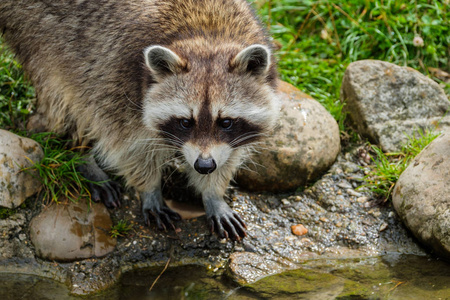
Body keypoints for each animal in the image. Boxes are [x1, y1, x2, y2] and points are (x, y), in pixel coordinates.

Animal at [0, 0, 280, 239]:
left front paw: (213, 194)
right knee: (62, 95)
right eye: (185, 122)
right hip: (35, 32)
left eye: (226, 122)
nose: (203, 165)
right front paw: (150, 189)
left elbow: (229, 153)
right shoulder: (116, 79)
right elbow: (129, 148)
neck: (206, 35)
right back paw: (80, 153)